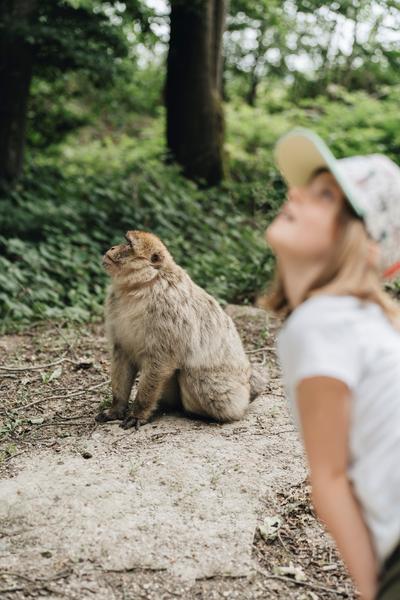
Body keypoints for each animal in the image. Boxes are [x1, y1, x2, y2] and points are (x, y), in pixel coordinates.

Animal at [96, 227, 266, 428]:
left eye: (128, 244)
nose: (112, 247)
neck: (140, 287)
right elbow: (122, 353)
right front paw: (116, 409)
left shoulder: (166, 311)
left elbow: (161, 360)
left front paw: (138, 413)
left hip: (230, 392)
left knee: (193, 374)